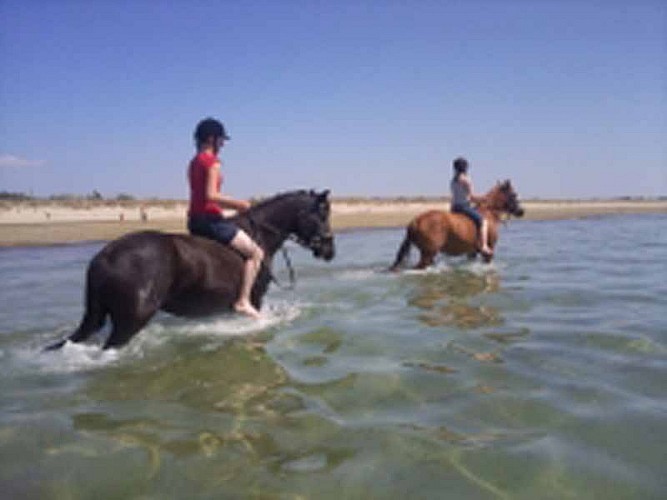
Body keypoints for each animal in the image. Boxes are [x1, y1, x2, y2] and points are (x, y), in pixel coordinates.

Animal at [45, 190, 335, 351]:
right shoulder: (255, 298)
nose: (330, 251)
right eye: (322, 215)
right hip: (130, 322)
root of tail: (104, 257)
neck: (260, 234)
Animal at [389, 180, 524, 270]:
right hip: (427, 254)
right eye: (514, 194)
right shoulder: (489, 250)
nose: (521, 211)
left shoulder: (472, 252)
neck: (489, 213)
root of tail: (415, 220)